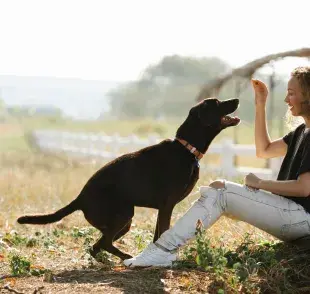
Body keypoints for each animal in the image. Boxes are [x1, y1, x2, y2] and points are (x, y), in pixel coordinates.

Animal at [17, 98, 240, 260]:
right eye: (217, 103)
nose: (237, 99)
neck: (187, 149)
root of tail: (80, 198)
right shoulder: (167, 206)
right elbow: (163, 233)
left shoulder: (162, 208)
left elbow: (157, 235)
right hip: (123, 215)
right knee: (104, 243)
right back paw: (125, 257)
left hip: (123, 223)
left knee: (97, 246)